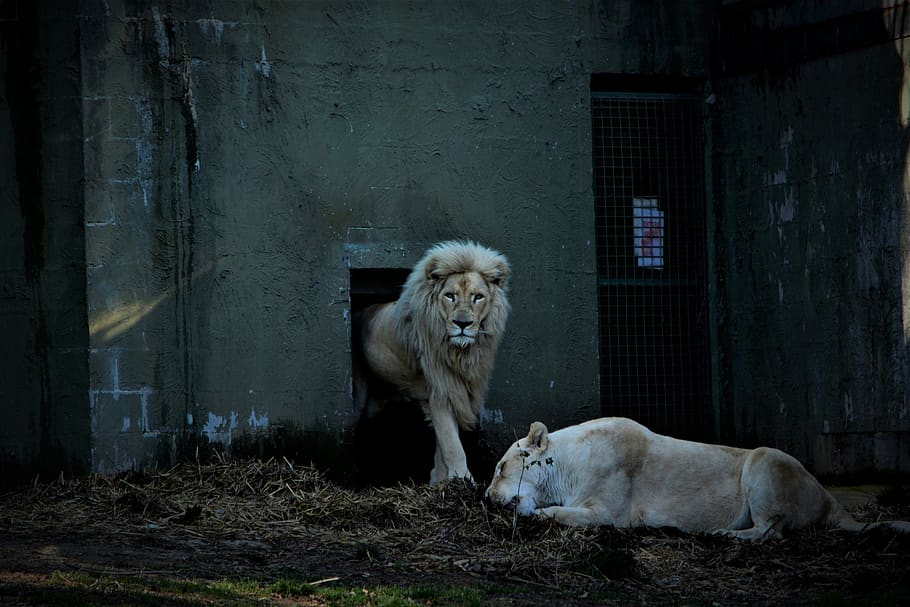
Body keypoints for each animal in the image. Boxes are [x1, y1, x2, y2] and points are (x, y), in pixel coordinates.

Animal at [357, 241, 510, 484]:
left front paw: (439, 480)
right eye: (450, 296)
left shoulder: (457, 390)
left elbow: (442, 444)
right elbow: (451, 443)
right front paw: (463, 481)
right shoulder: (440, 389)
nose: (462, 324)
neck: (460, 354)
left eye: (478, 297)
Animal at [486, 417, 910, 541]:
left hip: (763, 459)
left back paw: (718, 534)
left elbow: (559, 513)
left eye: (500, 468)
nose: (487, 498)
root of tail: (829, 498)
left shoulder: (609, 513)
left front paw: (534, 514)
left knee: (770, 532)